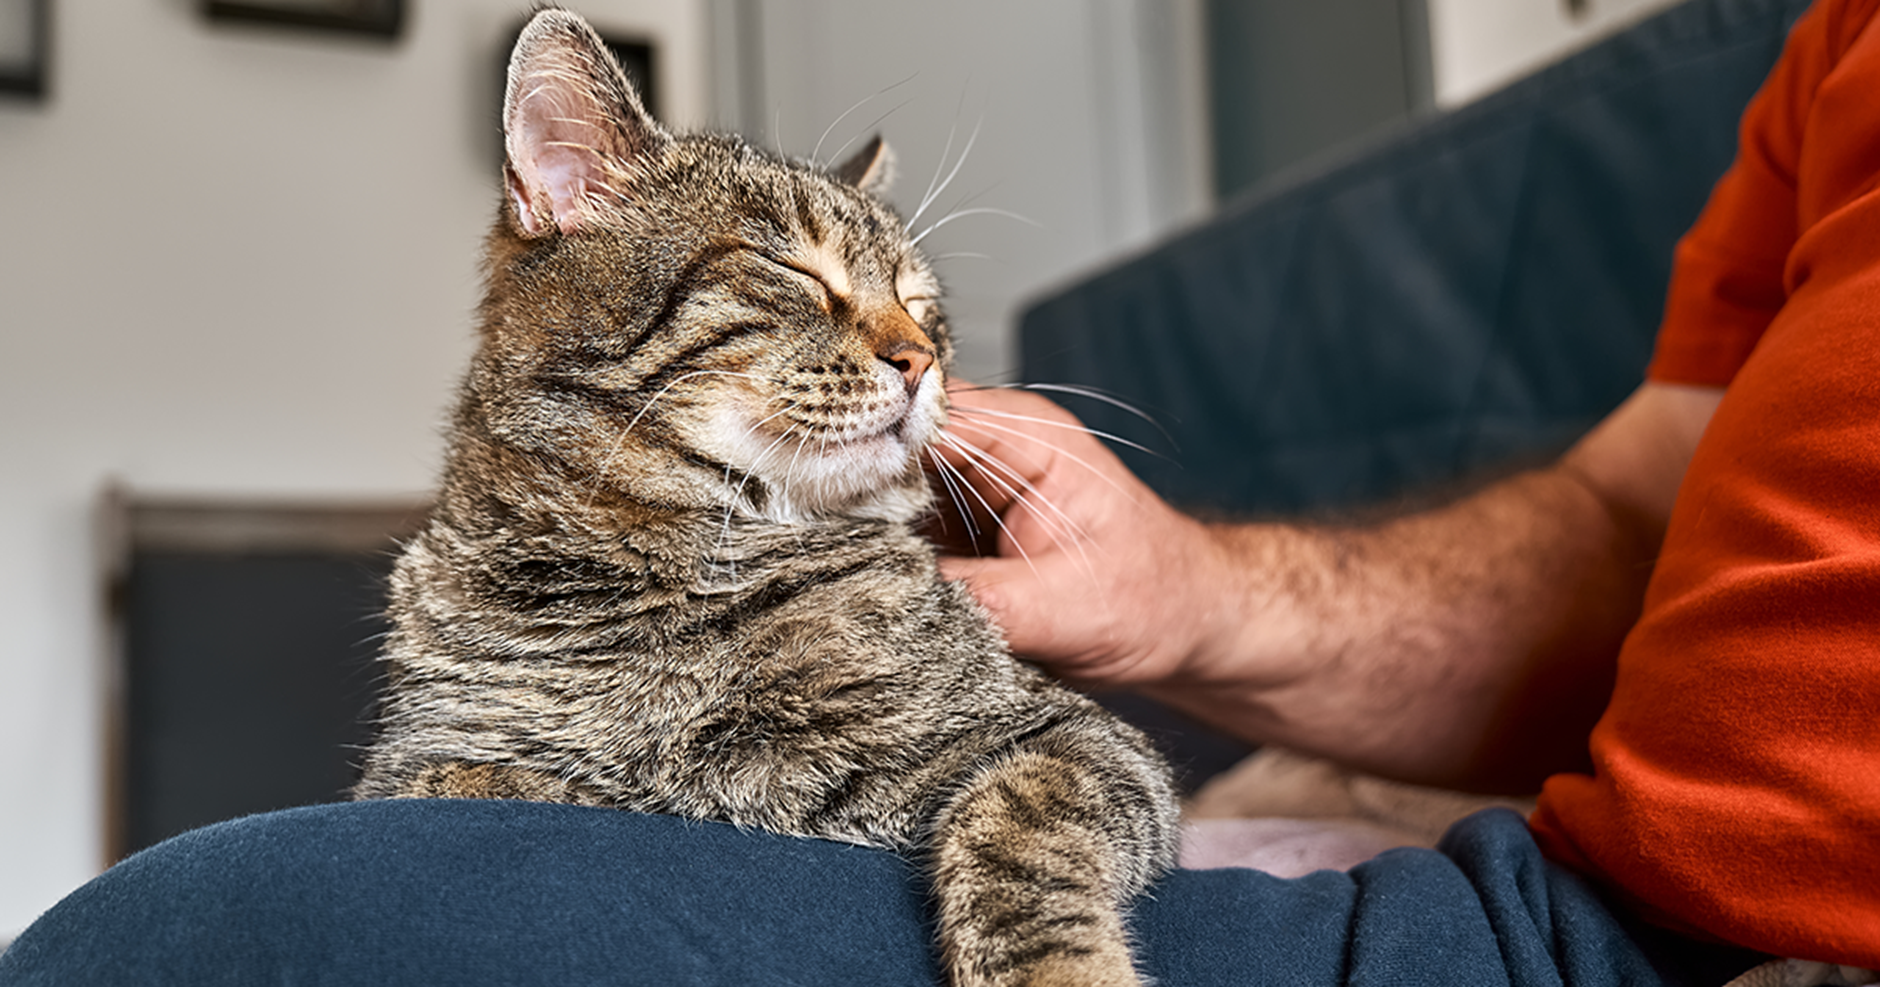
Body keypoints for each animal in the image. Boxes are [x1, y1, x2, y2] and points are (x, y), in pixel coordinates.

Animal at [351, 9, 1173, 985]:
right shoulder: (420, 758)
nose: (923, 358)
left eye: (921, 303)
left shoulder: (1077, 738)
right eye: (795, 271)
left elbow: (1019, 827)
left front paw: (1063, 970)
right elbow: (485, 781)